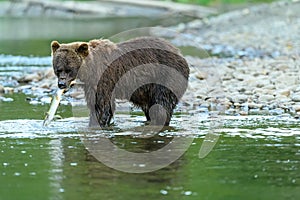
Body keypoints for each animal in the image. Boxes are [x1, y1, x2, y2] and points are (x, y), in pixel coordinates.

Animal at [50, 37, 189, 127]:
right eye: (58, 69)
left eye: (69, 69)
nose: (61, 84)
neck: (90, 69)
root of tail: (180, 54)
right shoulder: (93, 84)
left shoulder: (103, 78)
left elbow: (101, 106)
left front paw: (95, 124)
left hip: (166, 77)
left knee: (161, 106)